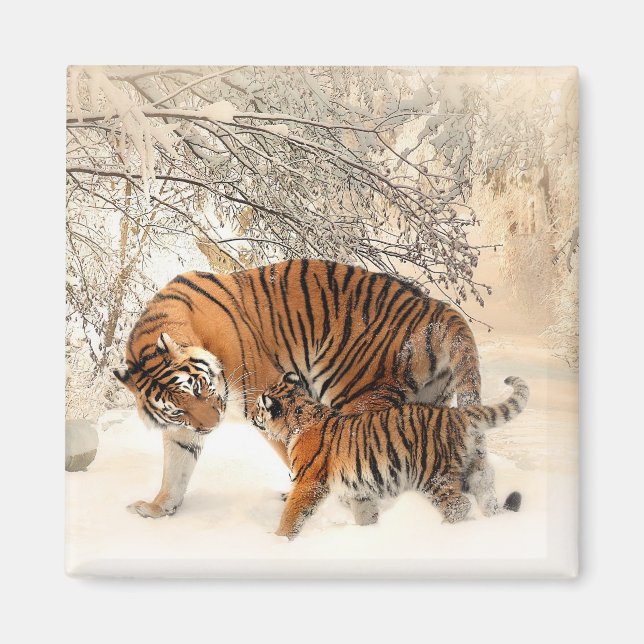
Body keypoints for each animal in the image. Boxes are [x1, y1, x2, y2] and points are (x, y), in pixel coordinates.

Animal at [113, 258, 490, 520]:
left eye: (199, 388)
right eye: (178, 409)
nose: (212, 426)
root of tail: (437, 307)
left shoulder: (267, 398)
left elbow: (297, 454)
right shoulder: (182, 430)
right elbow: (175, 470)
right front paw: (157, 508)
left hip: (356, 394)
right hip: (428, 402)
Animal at [252, 372, 528, 540]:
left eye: (258, 407)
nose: (252, 415)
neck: (299, 418)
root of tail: (457, 414)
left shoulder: (308, 482)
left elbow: (292, 513)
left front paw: (278, 541)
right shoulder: (359, 489)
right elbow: (365, 513)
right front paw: (369, 533)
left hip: (432, 475)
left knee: (459, 505)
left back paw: (443, 531)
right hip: (474, 467)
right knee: (486, 492)